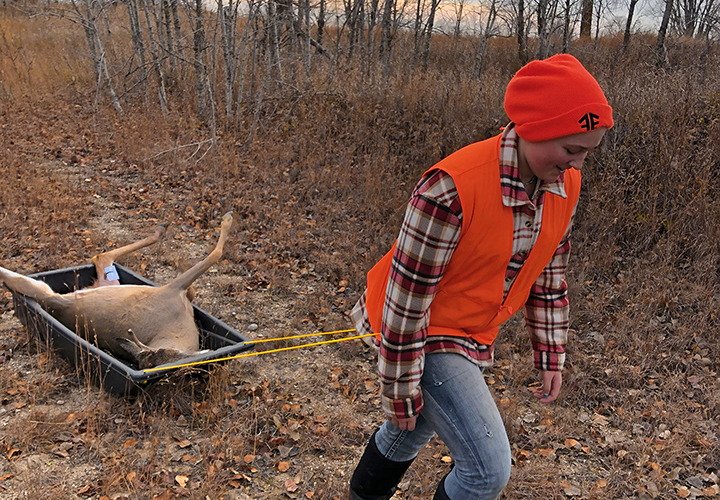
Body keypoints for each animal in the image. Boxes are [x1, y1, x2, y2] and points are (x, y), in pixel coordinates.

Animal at [0, 211, 235, 368]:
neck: (177, 329)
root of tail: (56, 303)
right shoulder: (170, 288)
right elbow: (216, 254)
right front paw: (227, 220)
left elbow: (194, 291)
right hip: (50, 290)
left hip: (107, 282)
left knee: (100, 257)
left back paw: (161, 228)